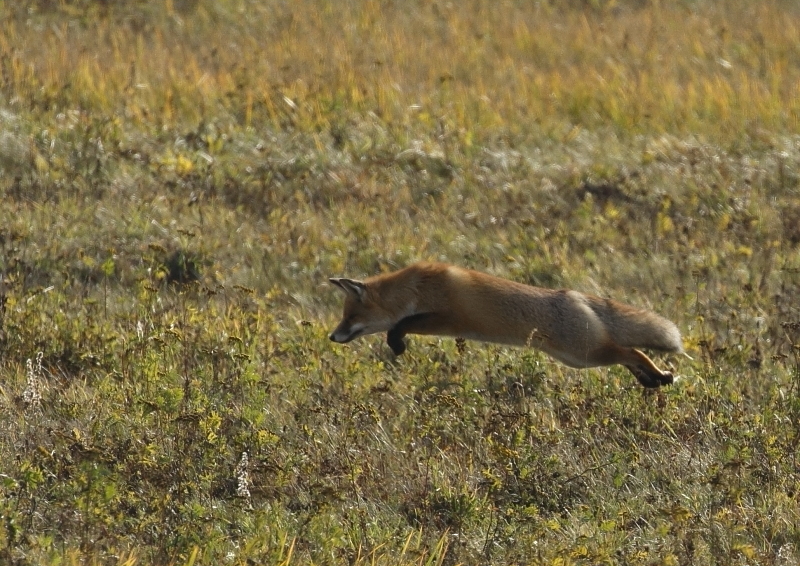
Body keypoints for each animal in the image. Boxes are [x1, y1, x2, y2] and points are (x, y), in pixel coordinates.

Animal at [328, 262, 684, 388]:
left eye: (350, 318)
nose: (332, 337)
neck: (417, 287)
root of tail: (574, 295)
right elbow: (399, 324)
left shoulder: (447, 317)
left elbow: (399, 326)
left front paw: (397, 344)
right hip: (579, 358)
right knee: (629, 355)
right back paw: (654, 381)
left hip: (586, 354)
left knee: (633, 352)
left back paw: (659, 376)